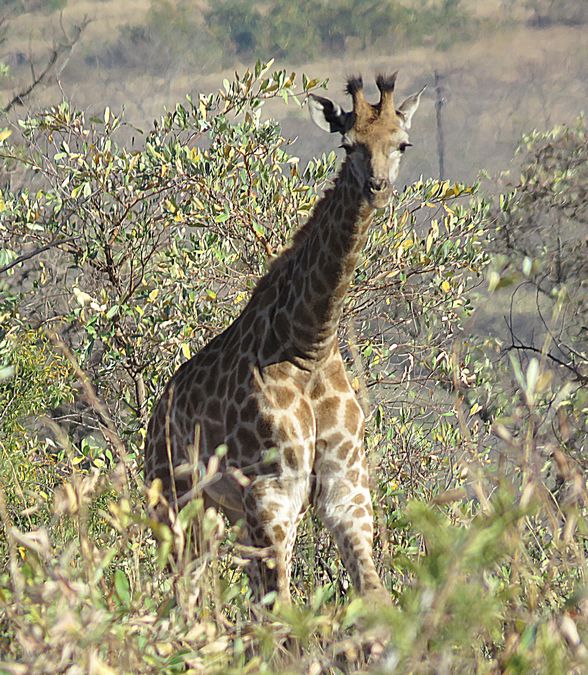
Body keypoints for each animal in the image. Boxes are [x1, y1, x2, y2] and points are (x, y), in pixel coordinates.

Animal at [144, 72, 423, 604]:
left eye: (402, 144)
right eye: (348, 144)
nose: (377, 188)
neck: (309, 342)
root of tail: (156, 412)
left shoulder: (347, 489)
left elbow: (374, 595)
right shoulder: (272, 491)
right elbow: (284, 611)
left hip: (225, 517)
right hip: (174, 503)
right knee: (184, 593)